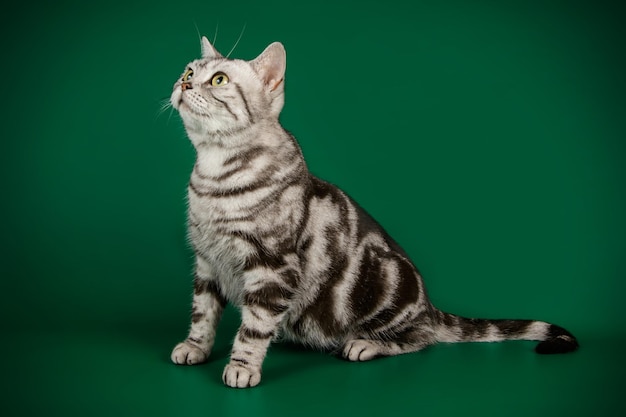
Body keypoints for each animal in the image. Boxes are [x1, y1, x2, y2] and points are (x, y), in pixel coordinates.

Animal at [167, 37, 576, 388]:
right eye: (189, 71)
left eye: (219, 79)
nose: (183, 84)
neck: (213, 175)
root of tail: (430, 306)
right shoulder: (207, 262)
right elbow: (203, 313)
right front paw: (196, 347)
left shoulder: (272, 267)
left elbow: (253, 328)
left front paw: (242, 365)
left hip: (390, 281)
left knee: (421, 337)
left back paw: (365, 343)